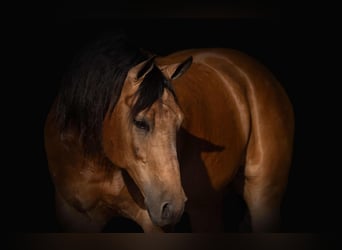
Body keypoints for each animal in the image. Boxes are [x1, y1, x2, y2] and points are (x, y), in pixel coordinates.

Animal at [43, 33, 294, 232]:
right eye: (140, 122)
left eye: (179, 123)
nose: (172, 207)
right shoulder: (77, 219)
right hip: (208, 204)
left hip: (262, 197)